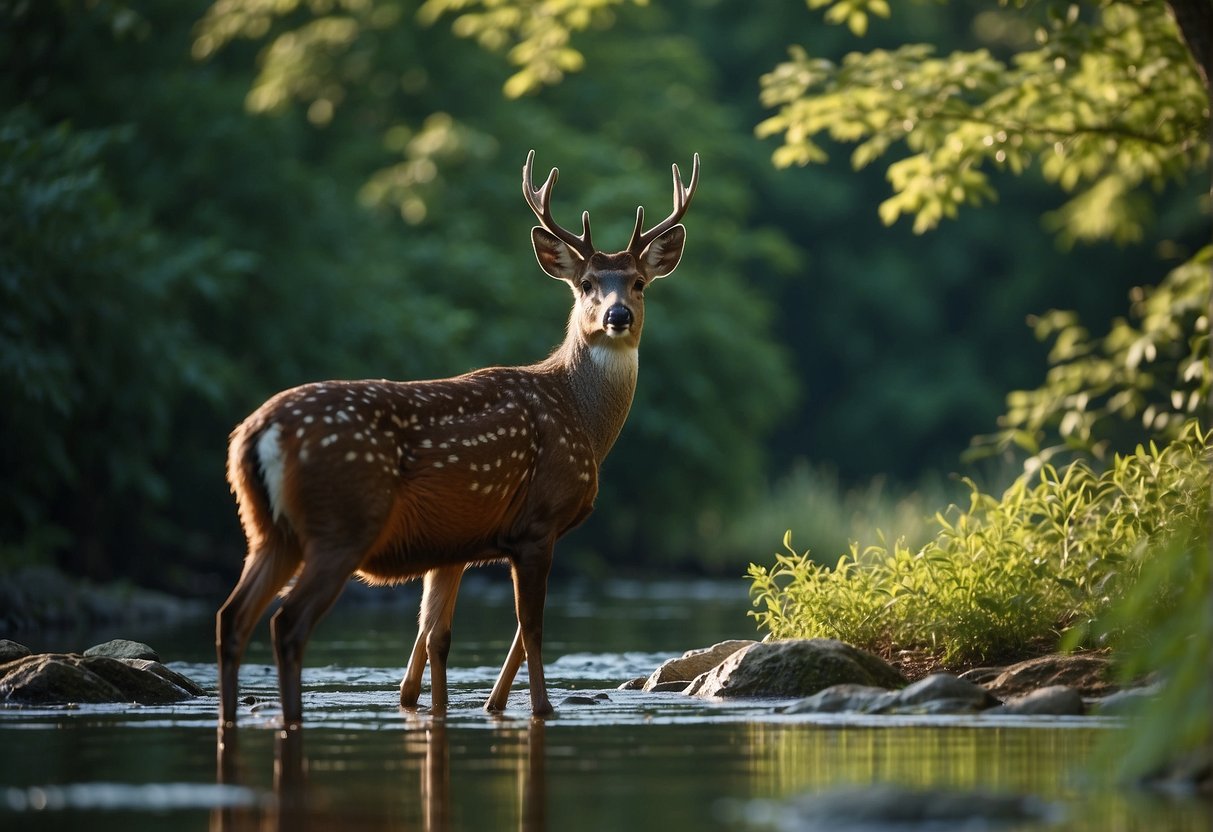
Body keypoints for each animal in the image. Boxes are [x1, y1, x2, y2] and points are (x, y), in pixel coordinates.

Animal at [216, 150, 699, 726]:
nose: (616, 315)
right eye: (585, 284)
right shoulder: (537, 523)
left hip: (269, 530)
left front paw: (470, 705)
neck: (580, 418)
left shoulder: (455, 543)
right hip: (342, 523)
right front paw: (540, 709)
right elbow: (530, 630)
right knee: (286, 622)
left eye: (639, 283)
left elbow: (435, 637)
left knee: (232, 617)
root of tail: (254, 434)